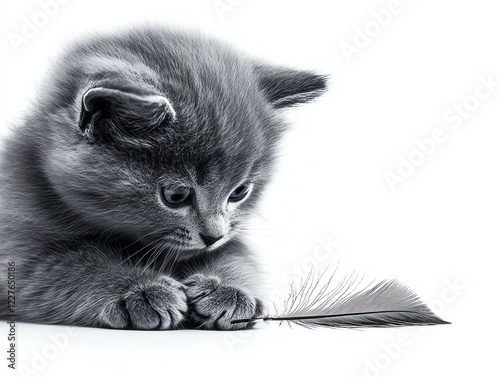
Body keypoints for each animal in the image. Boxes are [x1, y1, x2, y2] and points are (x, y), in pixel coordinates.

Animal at [0, 25, 328, 328]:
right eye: (175, 196)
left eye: (239, 192)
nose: (213, 236)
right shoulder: (15, 249)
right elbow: (68, 265)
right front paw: (139, 289)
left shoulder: (232, 238)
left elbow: (238, 256)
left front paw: (228, 290)